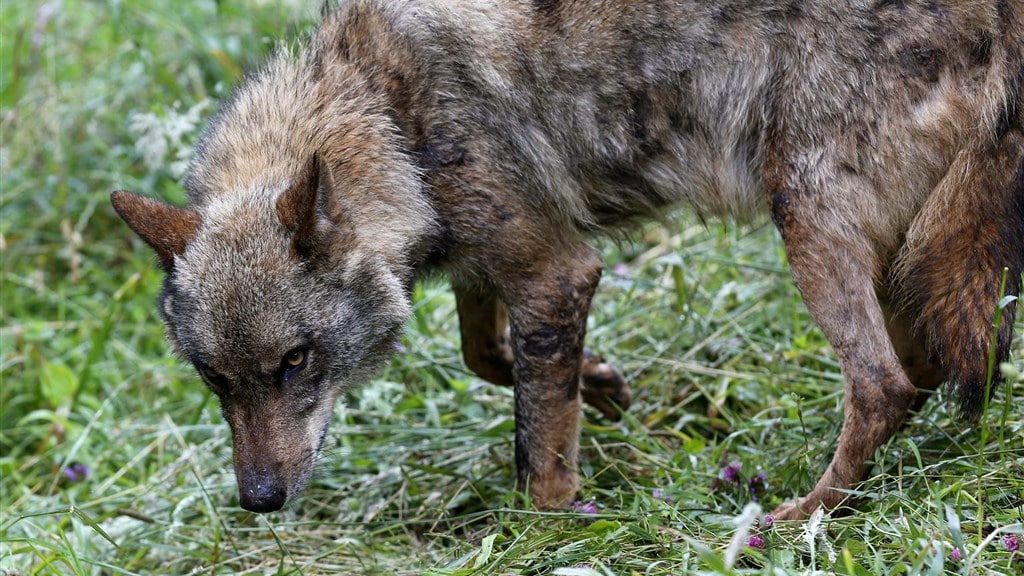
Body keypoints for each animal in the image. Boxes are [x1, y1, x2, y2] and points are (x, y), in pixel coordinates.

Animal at [111, 0, 1024, 518]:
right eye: (215, 380)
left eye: (295, 362)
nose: (258, 503)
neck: (387, 113)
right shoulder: (491, 264)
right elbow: (490, 358)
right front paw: (605, 387)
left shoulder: (554, 272)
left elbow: (535, 443)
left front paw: (543, 528)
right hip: (900, 257)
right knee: (937, 364)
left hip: (808, 226)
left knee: (884, 384)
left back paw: (802, 517)